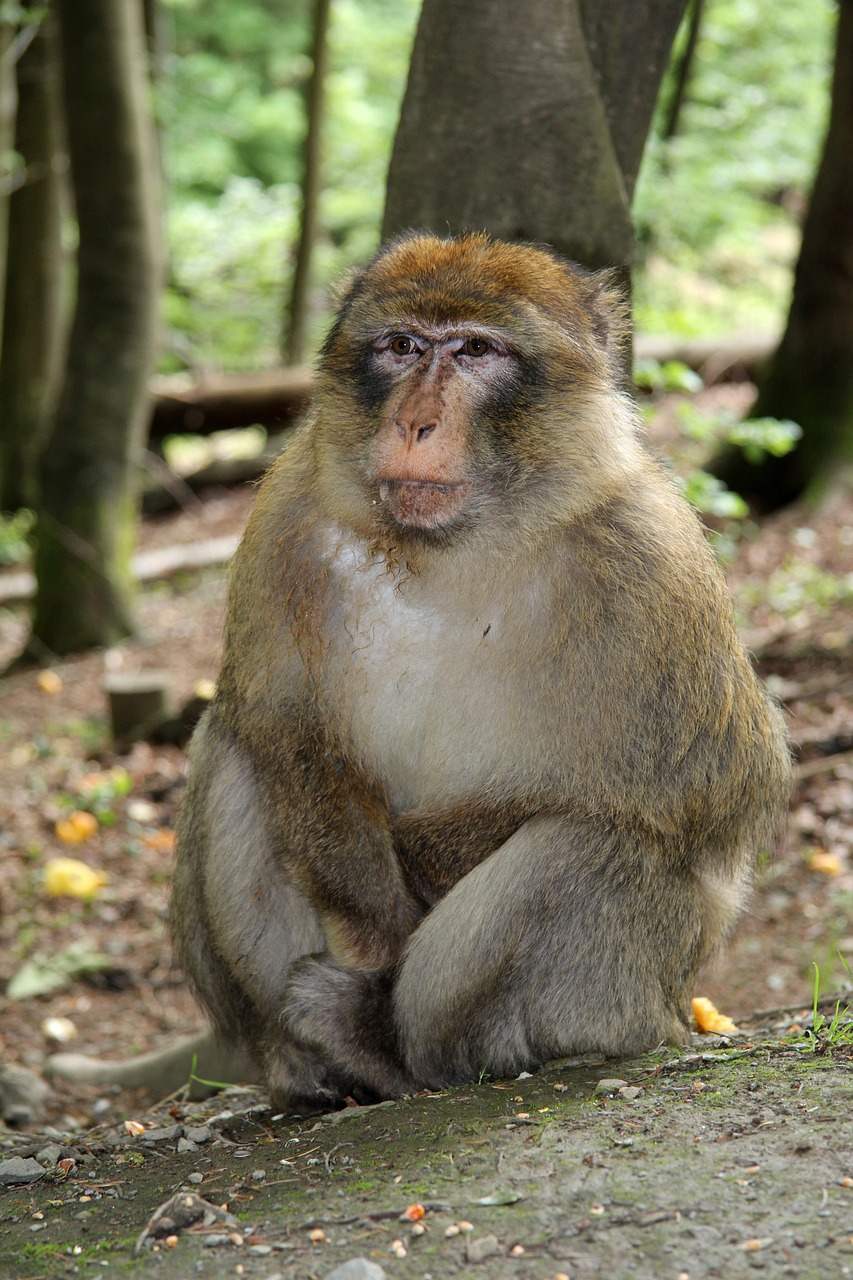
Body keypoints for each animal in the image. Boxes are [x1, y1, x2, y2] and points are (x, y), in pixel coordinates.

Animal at [46, 238, 788, 1111]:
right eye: (400, 345)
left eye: (474, 351)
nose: (413, 421)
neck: (451, 549)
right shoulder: (286, 511)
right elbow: (283, 727)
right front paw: (374, 922)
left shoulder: (653, 563)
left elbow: (700, 795)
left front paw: (417, 881)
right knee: (235, 744)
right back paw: (309, 1064)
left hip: (621, 1002)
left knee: (595, 842)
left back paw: (389, 1047)